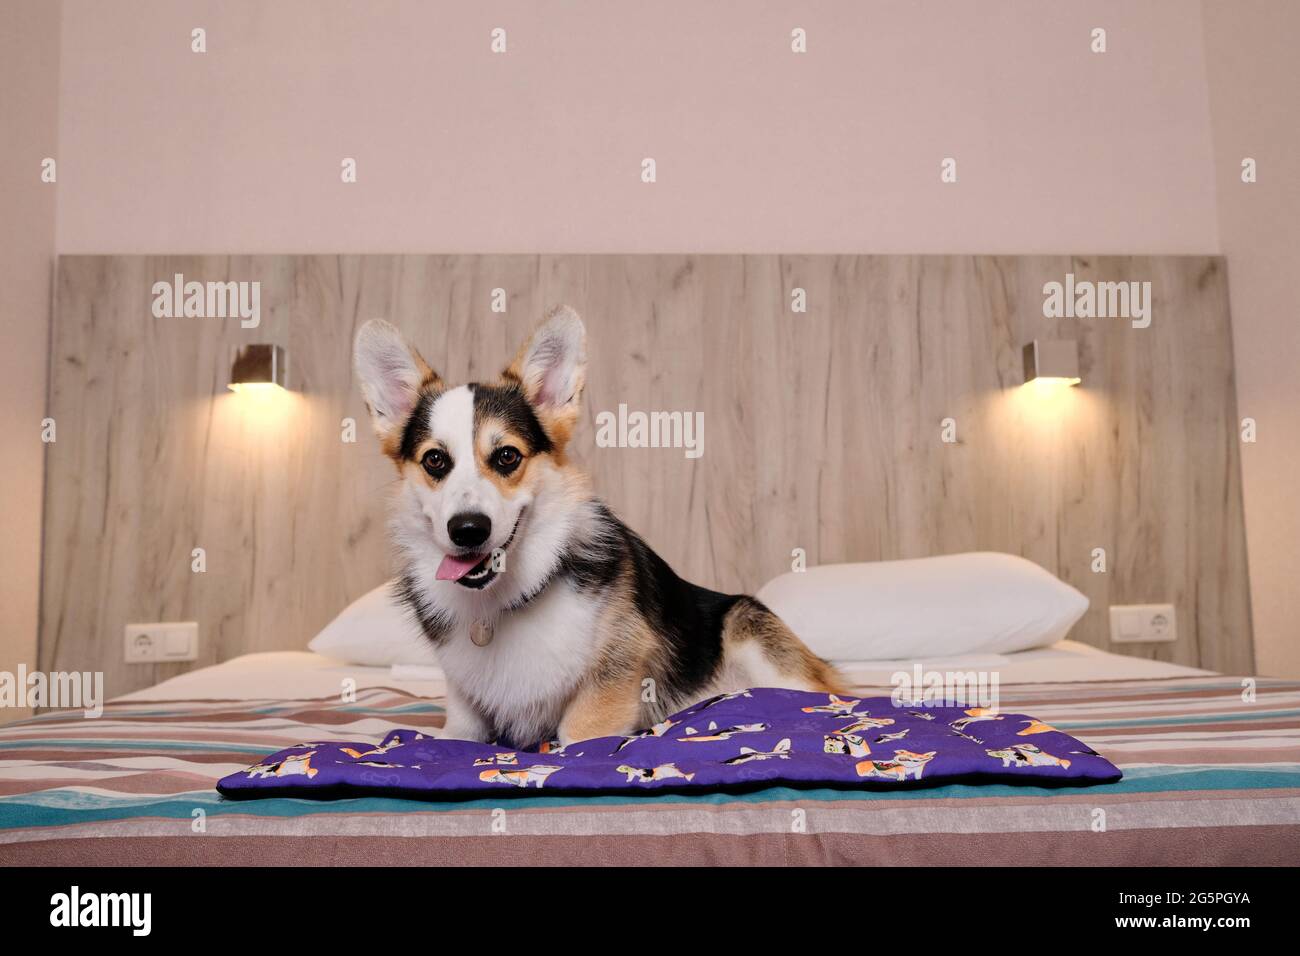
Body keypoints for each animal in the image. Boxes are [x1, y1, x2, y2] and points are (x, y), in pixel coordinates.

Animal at [356, 310, 842, 749]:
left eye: (507, 457)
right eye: (435, 460)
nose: (468, 530)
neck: (504, 599)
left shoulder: (620, 668)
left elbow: (578, 735)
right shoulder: (463, 710)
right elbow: (458, 737)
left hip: (749, 628)